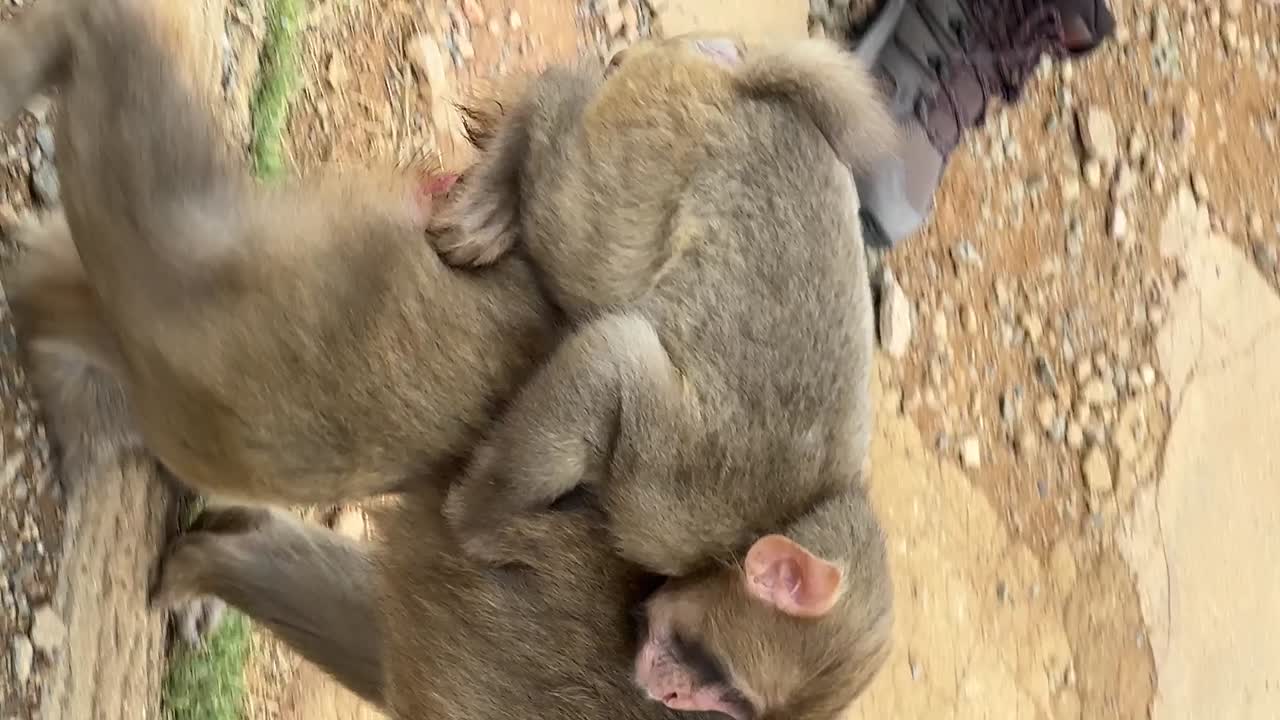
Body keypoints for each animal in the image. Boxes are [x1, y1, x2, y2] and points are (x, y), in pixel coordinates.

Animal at [433, 35, 897, 718]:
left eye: (729, 707)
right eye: (722, 679)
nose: (673, 695)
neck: (782, 519)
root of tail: (751, 91)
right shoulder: (677, 510)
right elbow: (614, 356)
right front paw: (476, 520)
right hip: (652, 145)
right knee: (579, 230)